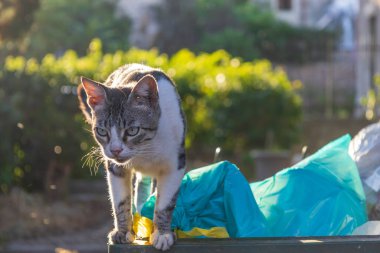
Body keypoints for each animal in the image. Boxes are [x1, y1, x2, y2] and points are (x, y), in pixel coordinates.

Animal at [77, 63, 186, 251]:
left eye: (133, 130)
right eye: (102, 131)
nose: (115, 150)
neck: (146, 149)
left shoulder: (175, 164)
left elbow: (165, 203)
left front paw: (162, 234)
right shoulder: (115, 168)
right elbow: (120, 201)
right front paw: (123, 232)